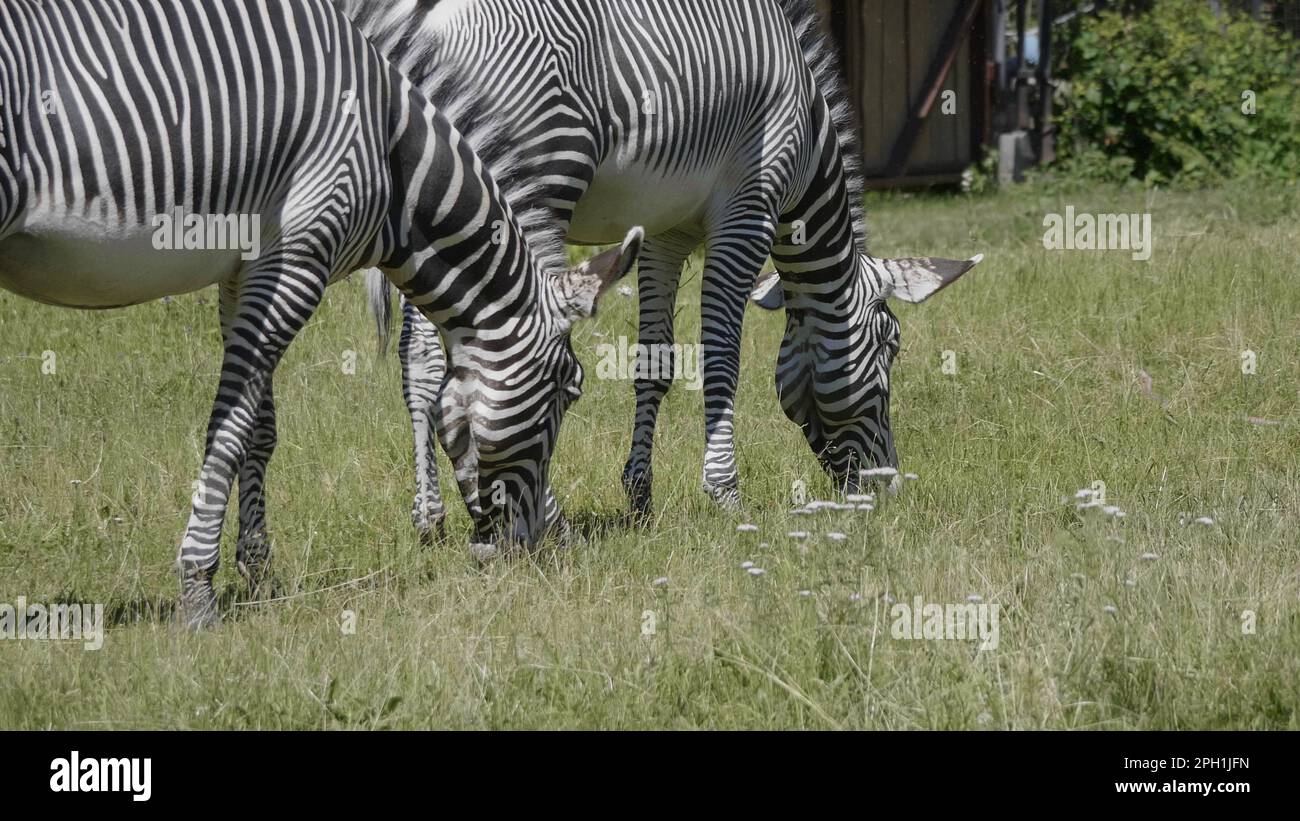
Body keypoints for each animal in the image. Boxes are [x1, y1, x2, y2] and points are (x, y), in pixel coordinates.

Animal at [0, 0, 642, 627]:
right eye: (571, 389)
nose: (532, 547)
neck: (393, 157)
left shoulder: (246, 270)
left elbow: (260, 427)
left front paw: (256, 567)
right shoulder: (300, 258)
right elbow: (230, 426)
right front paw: (198, 591)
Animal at [341, 0, 981, 534]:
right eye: (891, 345)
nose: (887, 490)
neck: (809, 144)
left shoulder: (663, 235)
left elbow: (655, 361)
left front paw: (640, 495)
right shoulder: (748, 212)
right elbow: (722, 358)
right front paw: (725, 494)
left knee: (423, 358)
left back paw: (432, 517)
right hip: (518, 178)